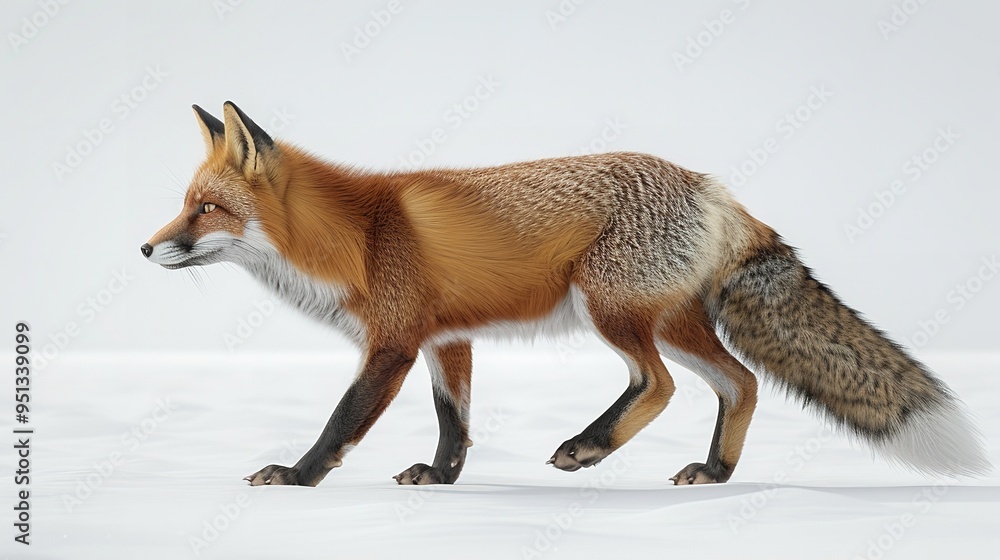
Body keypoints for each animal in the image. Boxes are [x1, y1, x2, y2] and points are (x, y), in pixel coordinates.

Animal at [142, 101, 989, 487]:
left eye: (205, 209)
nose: (146, 248)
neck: (354, 235)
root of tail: (710, 186)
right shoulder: (449, 340)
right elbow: (455, 422)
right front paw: (442, 479)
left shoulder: (394, 343)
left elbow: (341, 420)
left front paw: (296, 477)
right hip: (672, 320)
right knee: (741, 382)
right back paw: (714, 474)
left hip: (607, 307)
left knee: (660, 384)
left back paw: (589, 446)